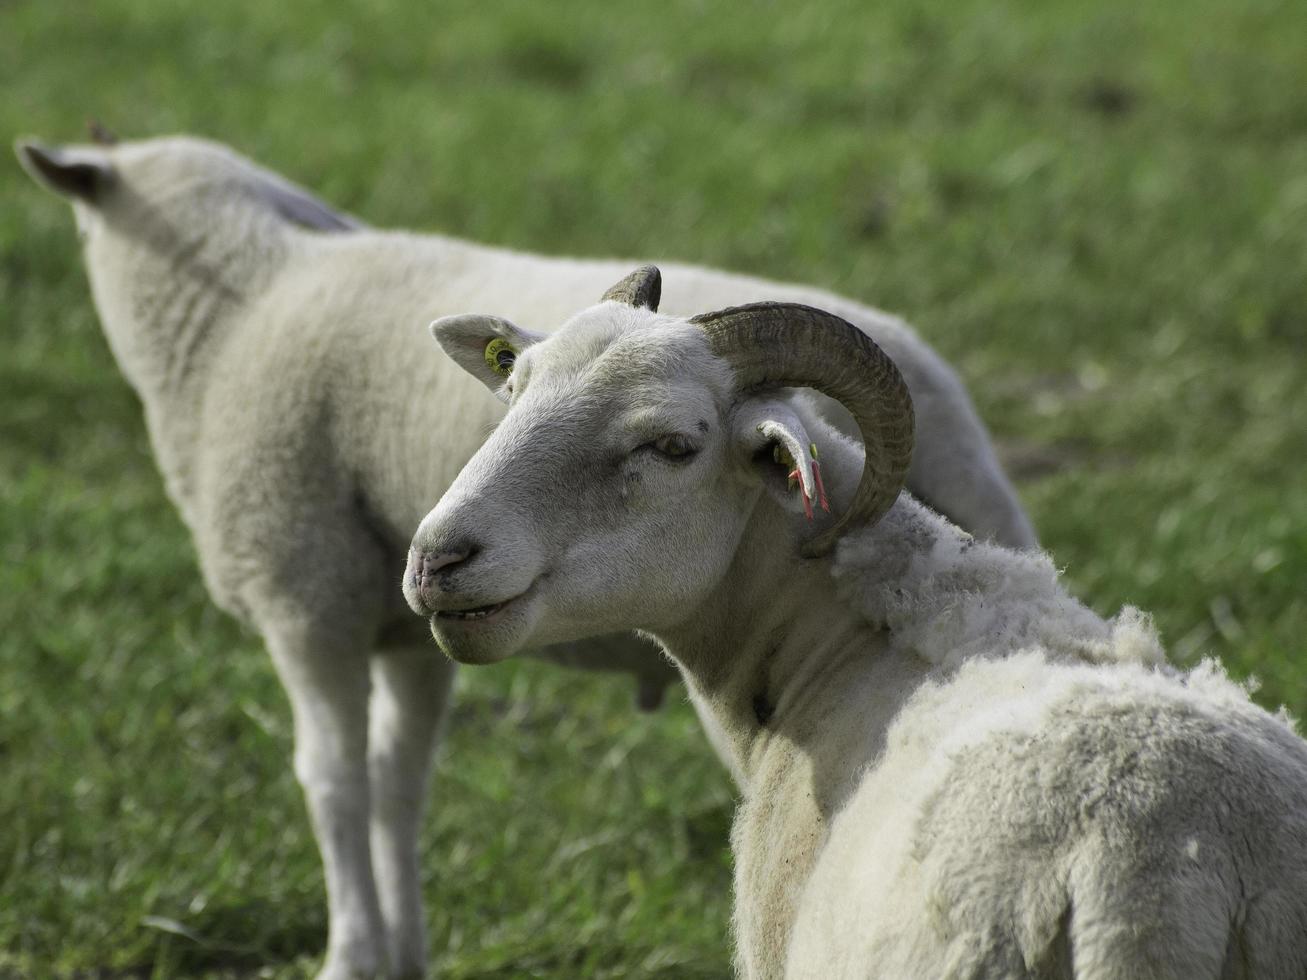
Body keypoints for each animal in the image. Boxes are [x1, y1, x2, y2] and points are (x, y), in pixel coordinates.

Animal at [12, 132, 1029, 980]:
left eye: (671, 445)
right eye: (509, 387)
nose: (434, 555)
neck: (238, 302)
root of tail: (929, 388)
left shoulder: (306, 599)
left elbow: (333, 784)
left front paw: (348, 954)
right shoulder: (411, 637)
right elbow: (397, 783)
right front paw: (401, 952)